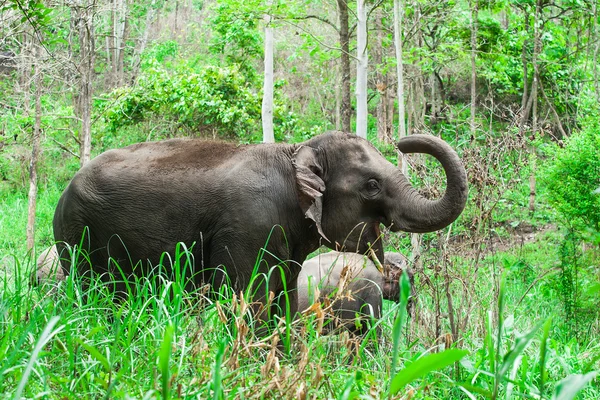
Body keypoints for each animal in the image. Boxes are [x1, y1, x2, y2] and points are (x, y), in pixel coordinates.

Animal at [52, 133, 468, 320]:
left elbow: (284, 299)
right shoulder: (247, 227)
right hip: (76, 236)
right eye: (371, 185)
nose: (403, 141)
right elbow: (246, 298)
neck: (295, 152)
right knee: (92, 291)